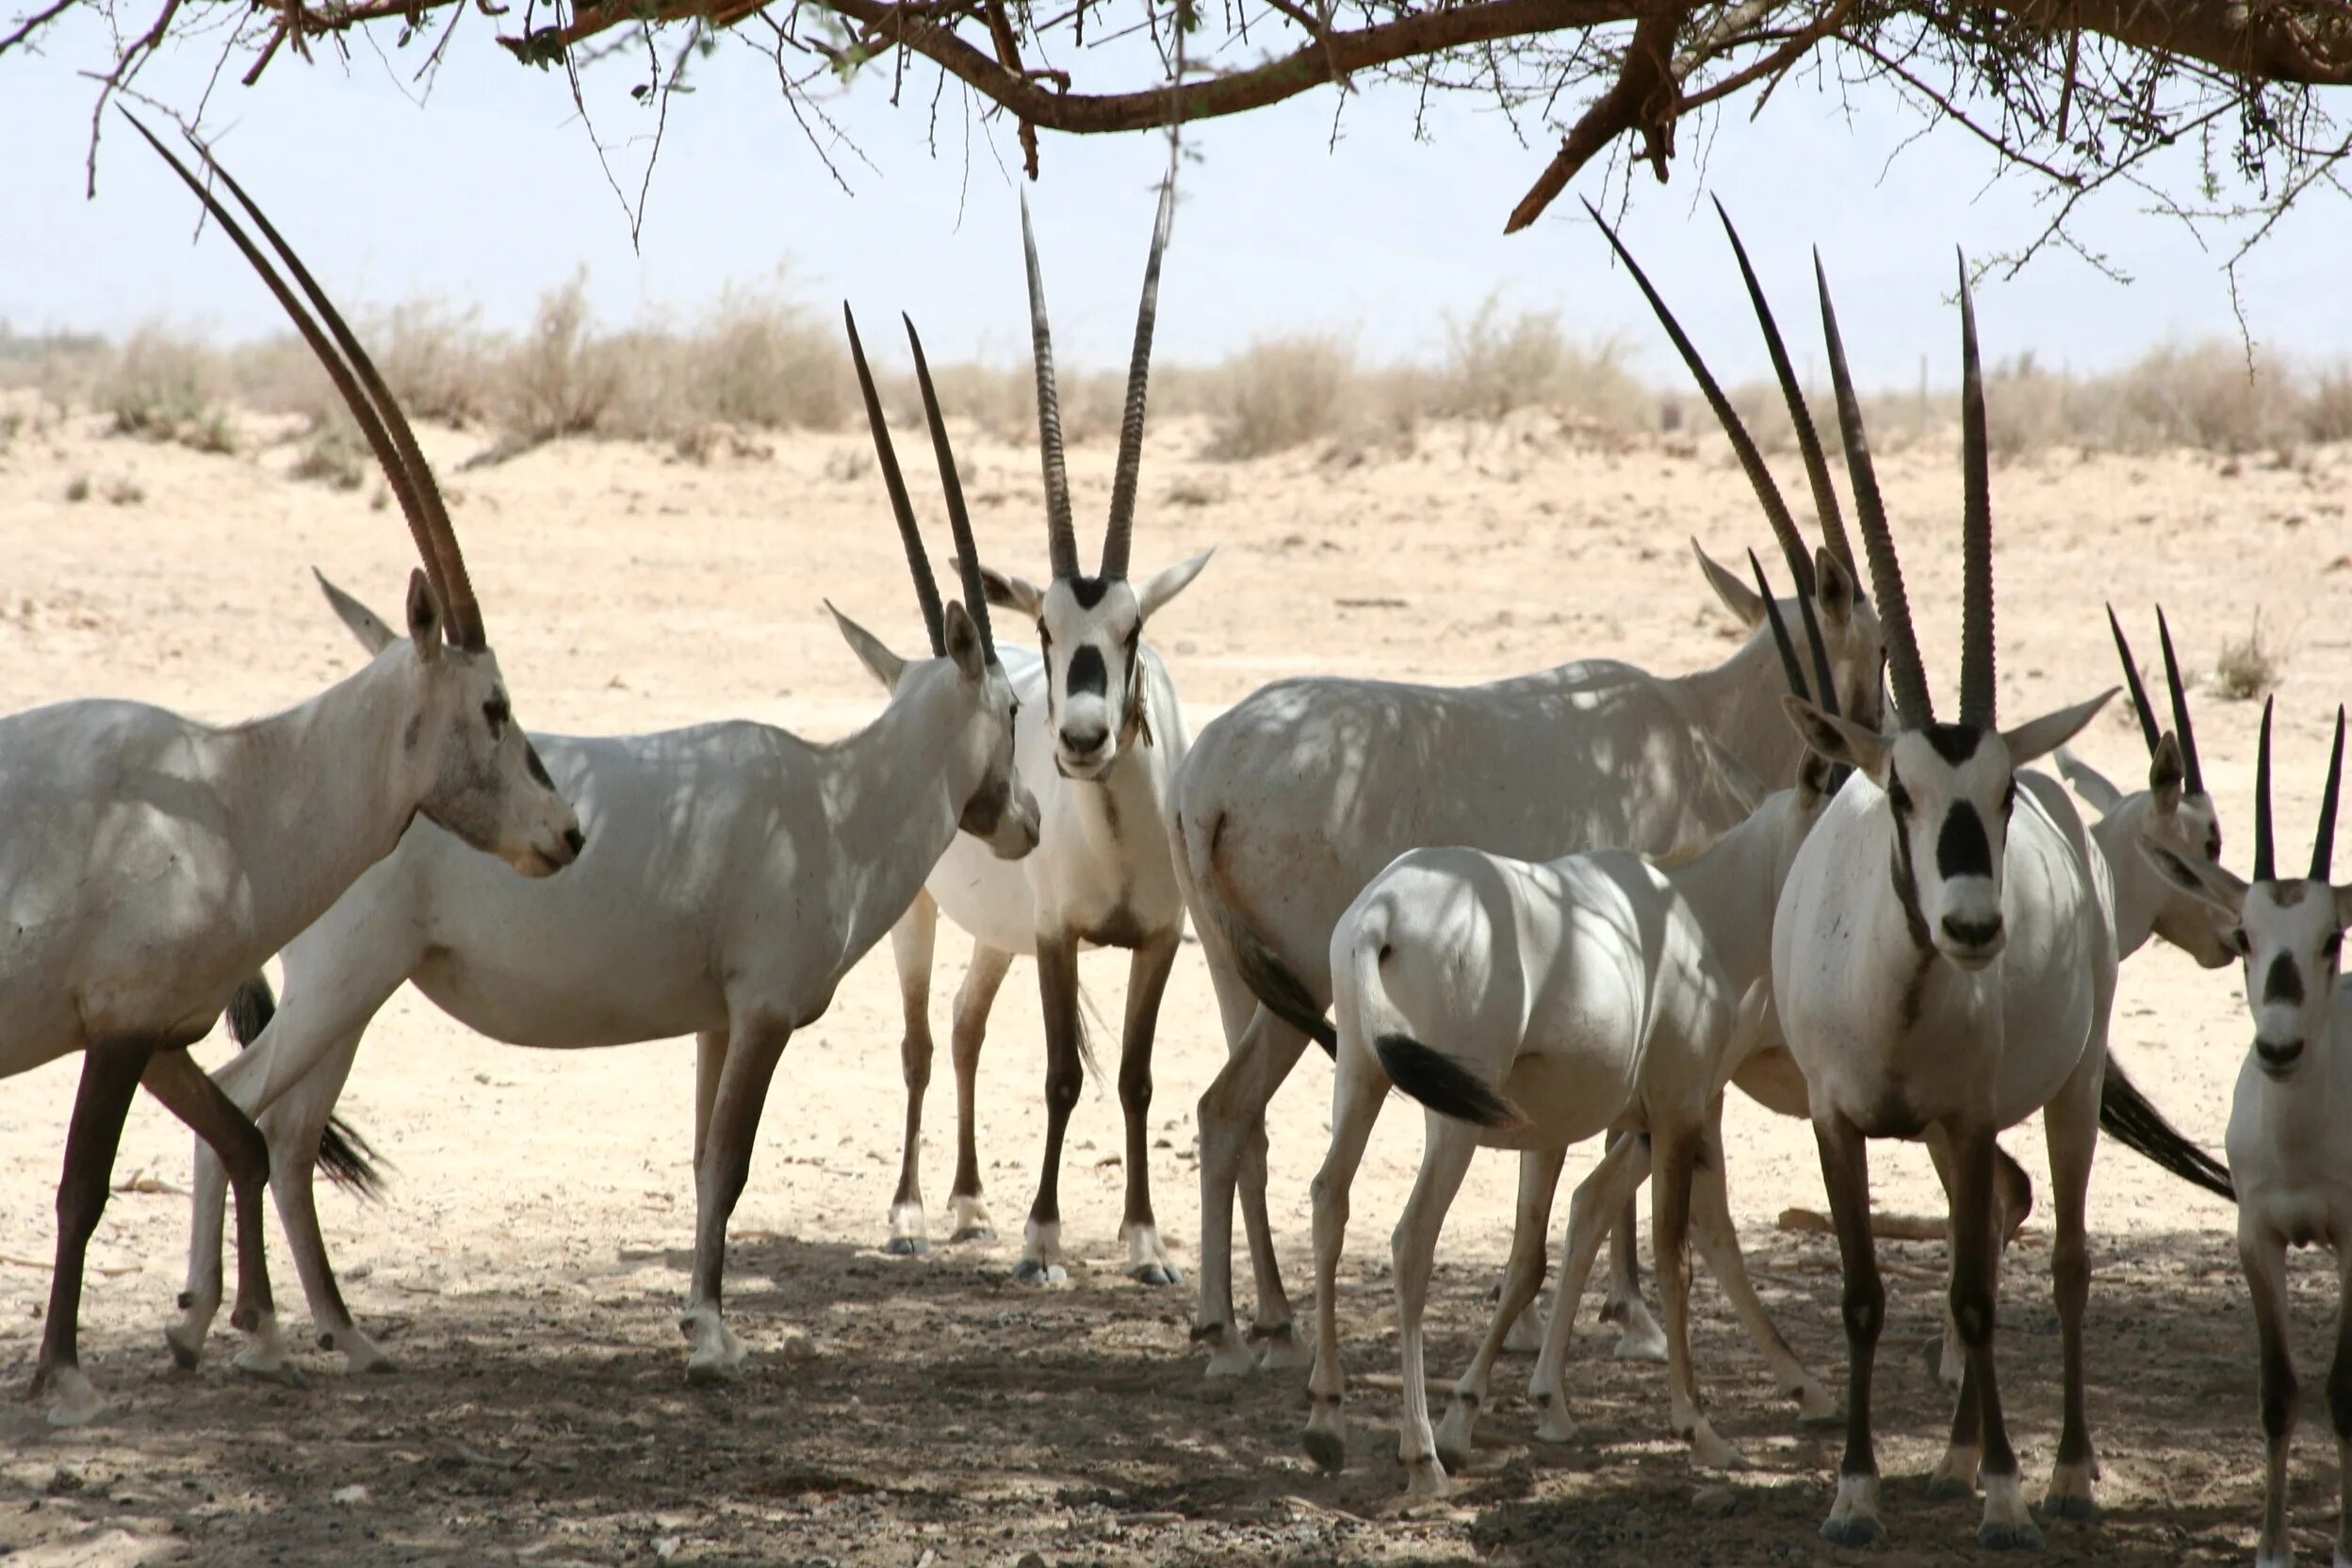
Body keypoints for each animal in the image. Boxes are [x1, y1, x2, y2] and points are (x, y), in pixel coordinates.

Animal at [7, 120, 576, 1419]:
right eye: (493, 703)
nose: (567, 833)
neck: (232, 788)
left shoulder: (165, 1032)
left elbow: (245, 1136)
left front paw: (256, 1329)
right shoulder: (116, 1025)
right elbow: (83, 1183)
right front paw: (65, 1371)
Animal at [173, 310, 1039, 1381]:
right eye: (1013, 707)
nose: (1025, 820)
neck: (837, 798)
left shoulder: (717, 1020)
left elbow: (706, 1160)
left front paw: (697, 1322)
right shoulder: (763, 1012)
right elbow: (734, 1161)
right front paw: (712, 1335)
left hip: (351, 998)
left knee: (290, 1139)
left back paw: (348, 1332)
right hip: (342, 984)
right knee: (242, 1109)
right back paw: (213, 1325)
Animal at [884, 184, 1213, 1288]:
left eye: (1133, 631)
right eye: (1044, 630)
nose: (1079, 740)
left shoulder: (1155, 937)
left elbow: (1139, 1078)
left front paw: (1147, 1244)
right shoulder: (1061, 935)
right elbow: (1066, 1075)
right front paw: (1042, 1240)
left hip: (999, 936)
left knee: (965, 1027)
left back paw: (967, 1205)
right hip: (922, 915)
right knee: (921, 1041)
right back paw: (911, 1213)